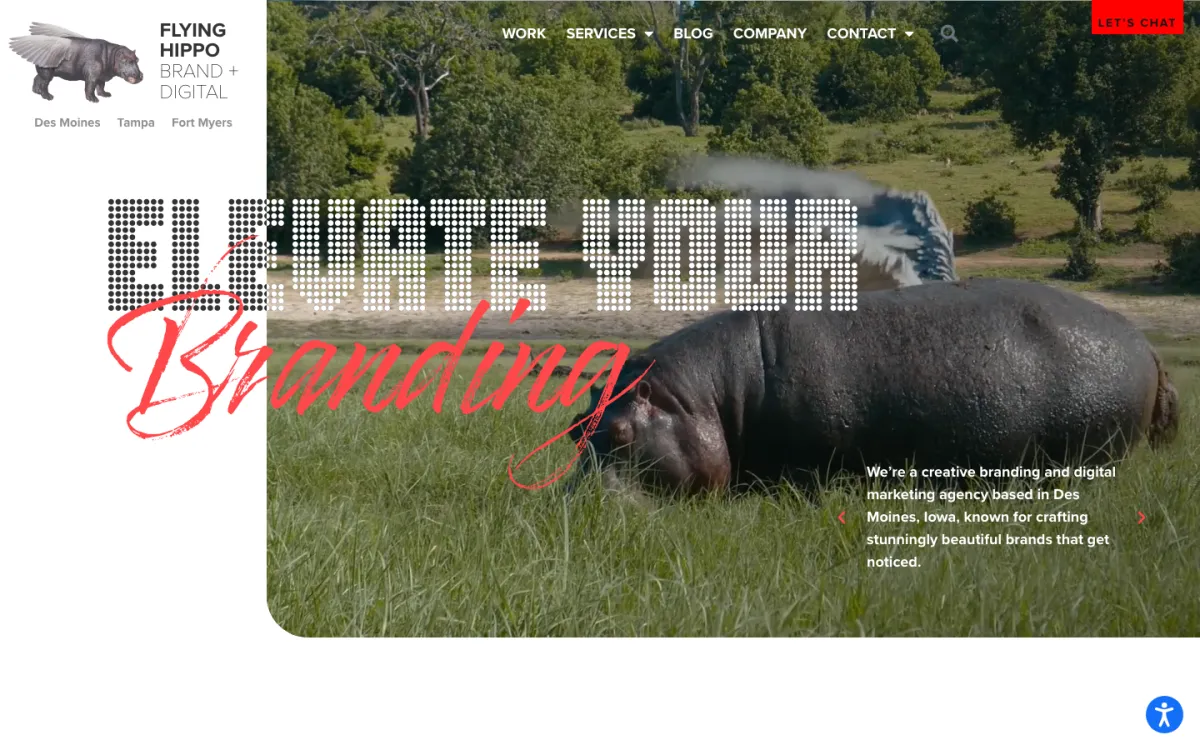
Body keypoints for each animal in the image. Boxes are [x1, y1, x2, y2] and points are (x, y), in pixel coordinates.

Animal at [9, 23, 143, 102]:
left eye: (137, 59)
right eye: (125, 60)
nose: (139, 75)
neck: (112, 54)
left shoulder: (102, 75)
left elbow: (101, 86)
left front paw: (106, 95)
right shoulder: (92, 75)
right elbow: (90, 87)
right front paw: (93, 100)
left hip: (44, 72)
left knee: (37, 79)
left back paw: (36, 92)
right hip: (48, 72)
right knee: (44, 84)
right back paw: (49, 97)